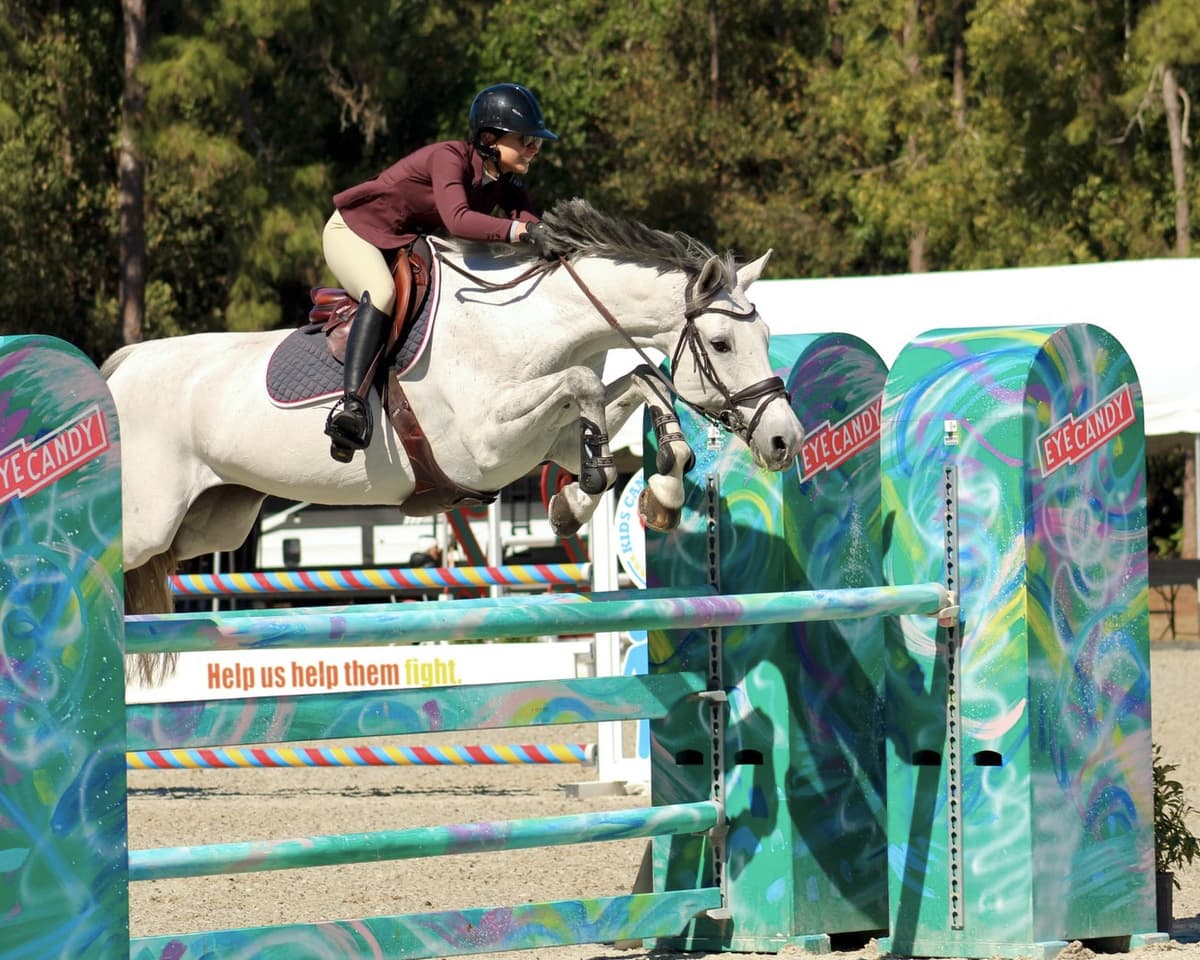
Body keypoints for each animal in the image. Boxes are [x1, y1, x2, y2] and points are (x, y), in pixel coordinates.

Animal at [102, 199, 804, 679]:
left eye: (768, 337)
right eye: (721, 344)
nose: (784, 440)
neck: (534, 322)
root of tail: (121, 369)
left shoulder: (539, 440)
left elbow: (638, 384)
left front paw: (636, 492)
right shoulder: (486, 444)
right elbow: (587, 385)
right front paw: (595, 481)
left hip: (209, 523)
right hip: (148, 521)